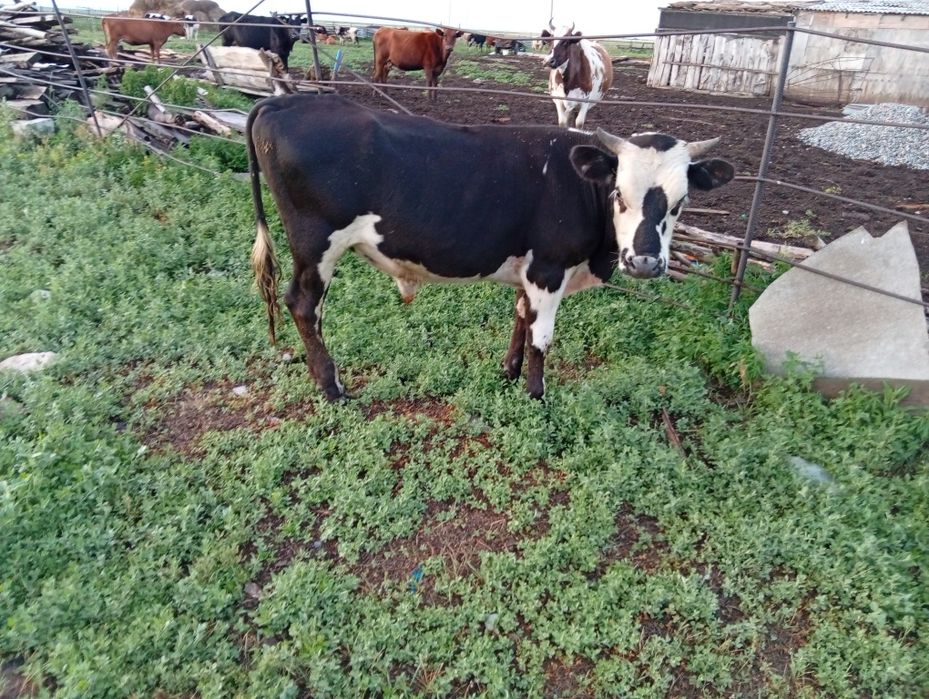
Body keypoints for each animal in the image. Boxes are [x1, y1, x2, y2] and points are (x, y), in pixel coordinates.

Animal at [246, 94, 735, 401]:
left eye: (681, 201)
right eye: (619, 194)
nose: (646, 262)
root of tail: (286, 100)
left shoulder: (528, 267)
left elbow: (521, 318)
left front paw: (509, 372)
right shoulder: (549, 268)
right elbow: (542, 336)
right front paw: (537, 396)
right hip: (316, 244)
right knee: (304, 305)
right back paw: (332, 387)